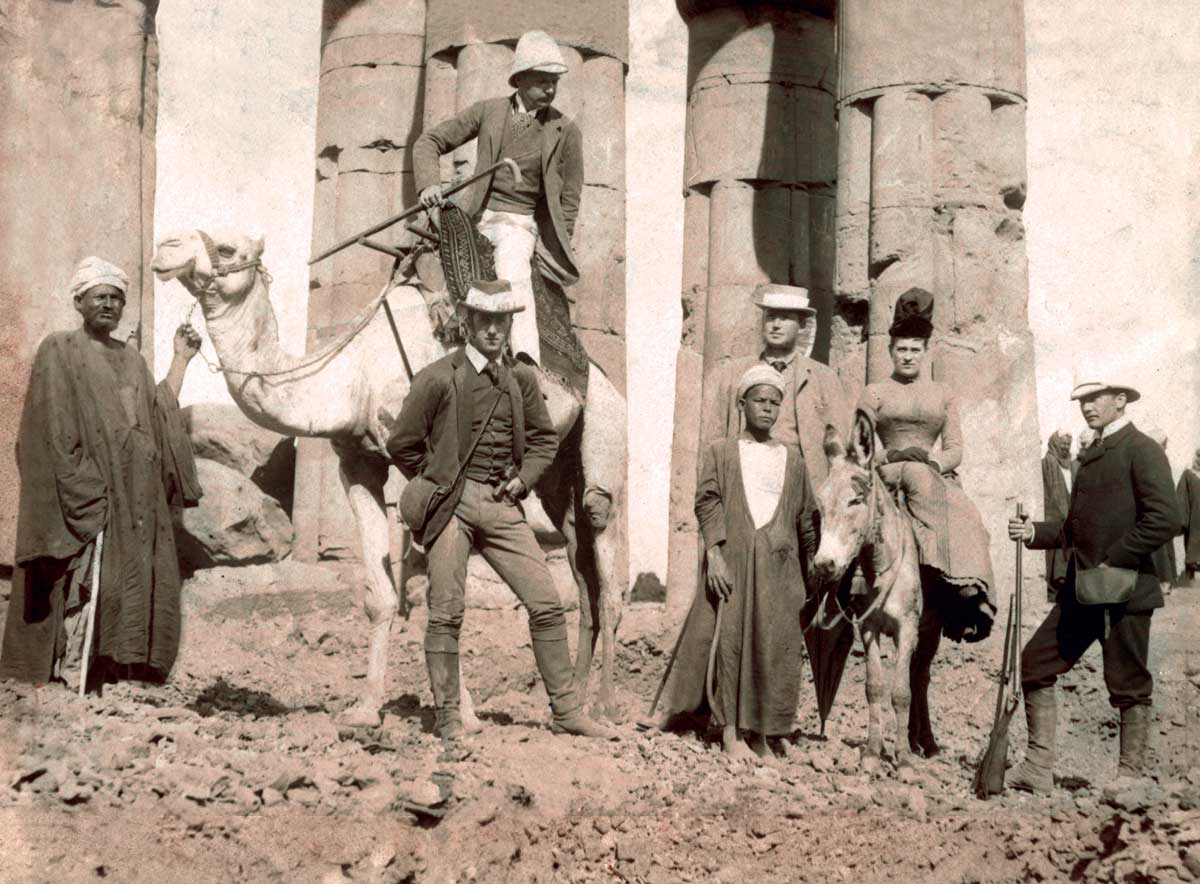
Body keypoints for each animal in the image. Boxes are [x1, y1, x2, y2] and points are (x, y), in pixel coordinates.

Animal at [150, 229, 628, 729]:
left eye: (227, 249)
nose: (166, 248)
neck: (352, 376)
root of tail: (602, 378)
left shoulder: (426, 466)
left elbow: (436, 592)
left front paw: (464, 714)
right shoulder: (358, 463)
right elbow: (380, 595)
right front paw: (365, 708)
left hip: (607, 434)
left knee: (603, 544)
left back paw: (606, 707)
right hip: (557, 474)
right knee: (581, 565)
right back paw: (574, 699)